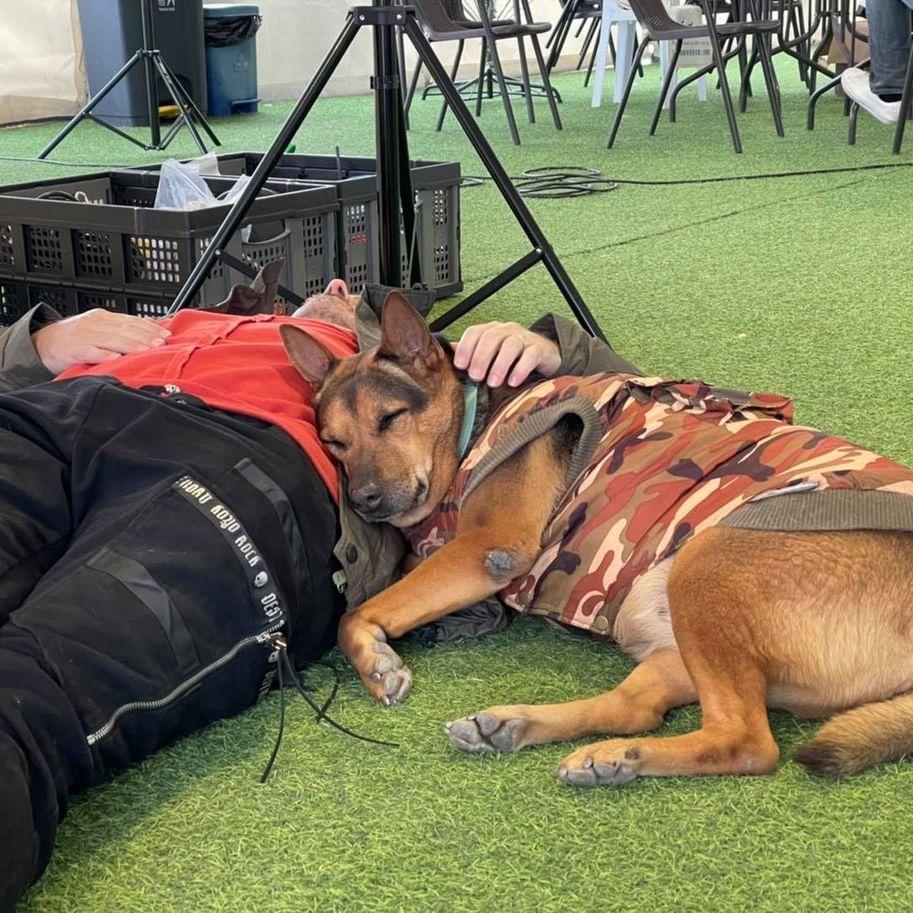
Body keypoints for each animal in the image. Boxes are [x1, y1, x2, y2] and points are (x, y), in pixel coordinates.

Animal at [280, 292, 913, 787]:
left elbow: (357, 612)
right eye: (334, 442)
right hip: (671, 626)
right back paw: (541, 734)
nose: (363, 500)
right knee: (641, 710)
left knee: (747, 743)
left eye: (389, 418)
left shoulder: (488, 549)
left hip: (706, 560)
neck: (472, 422)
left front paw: (375, 661)